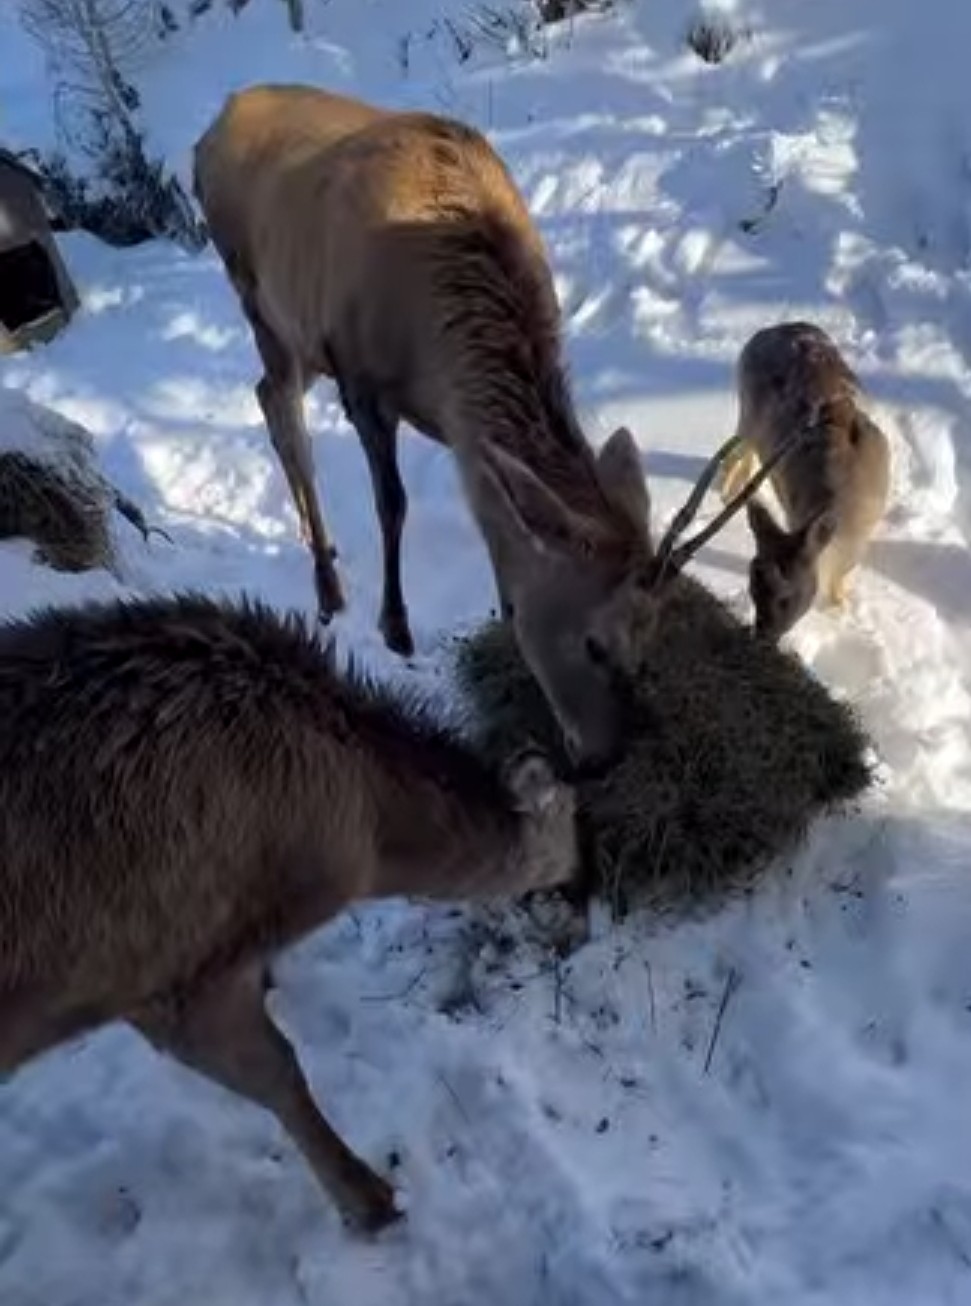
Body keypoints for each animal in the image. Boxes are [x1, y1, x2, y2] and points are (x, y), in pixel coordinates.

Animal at [0, 592, 577, 1232]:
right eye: (575, 819)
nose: (580, 890)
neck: (366, 838)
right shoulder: (171, 970)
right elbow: (278, 1071)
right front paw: (371, 1201)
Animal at [193, 86, 784, 773]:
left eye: (651, 641)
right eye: (594, 644)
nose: (603, 758)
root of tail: (209, 130)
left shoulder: (457, 424)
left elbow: (493, 520)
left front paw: (501, 609)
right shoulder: (362, 381)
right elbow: (393, 503)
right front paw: (396, 628)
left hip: (299, 334)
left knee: (265, 397)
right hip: (260, 300)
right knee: (285, 415)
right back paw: (327, 587)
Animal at [716, 323, 893, 645]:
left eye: (787, 598)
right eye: (753, 589)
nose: (762, 635)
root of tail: (764, 333)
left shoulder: (861, 539)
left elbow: (841, 578)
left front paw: (839, 606)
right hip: (747, 411)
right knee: (739, 447)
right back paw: (729, 492)